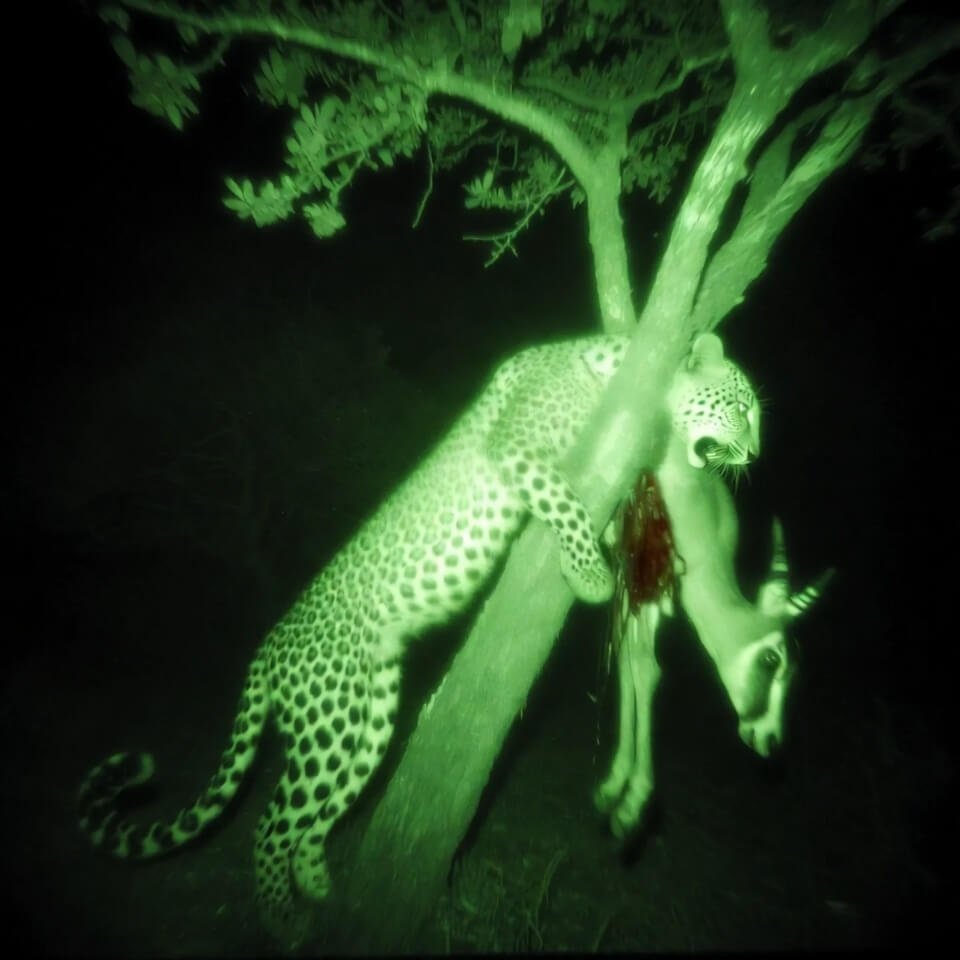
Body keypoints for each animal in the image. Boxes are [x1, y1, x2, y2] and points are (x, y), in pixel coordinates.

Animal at [78, 331, 760, 946]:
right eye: (743, 404)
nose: (753, 455)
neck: (620, 366)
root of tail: (265, 652)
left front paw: (609, 551)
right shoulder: (516, 446)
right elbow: (564, 501)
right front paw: (590, 577)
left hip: (368, 719)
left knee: (317, 814)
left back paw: (319, 884)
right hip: (326, 722)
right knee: (270, 824)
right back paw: (282, 922)